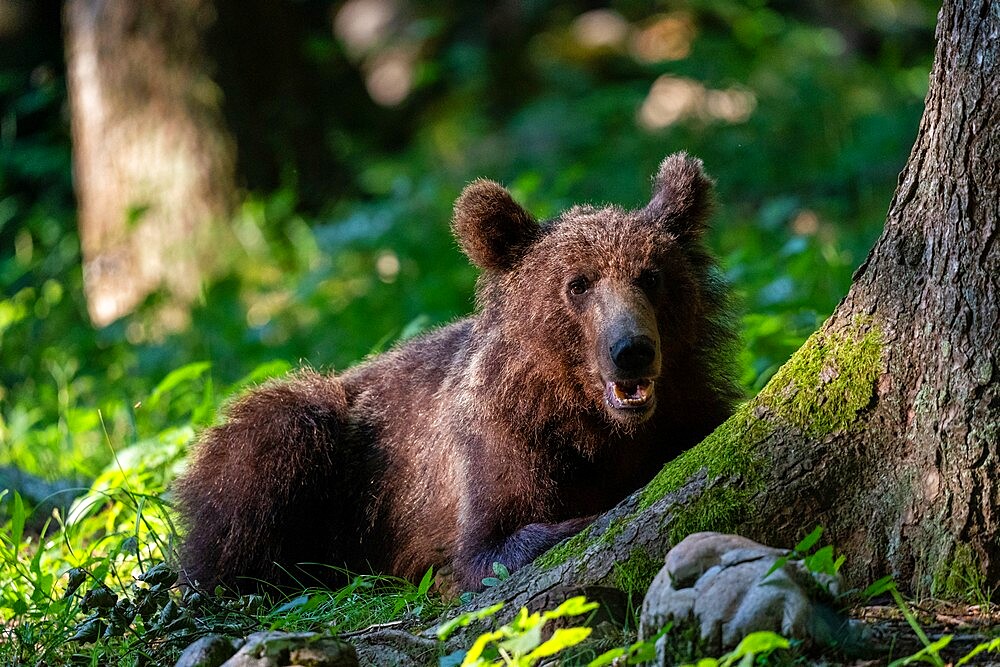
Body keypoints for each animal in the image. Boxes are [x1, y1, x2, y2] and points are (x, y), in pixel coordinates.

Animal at [176, 153, 744, 596]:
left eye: (652, 276)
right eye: (578, 284)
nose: (632, 351)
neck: (589, 419)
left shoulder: (687, 409)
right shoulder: (498, 439)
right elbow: (491, 544)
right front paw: (586, 517)